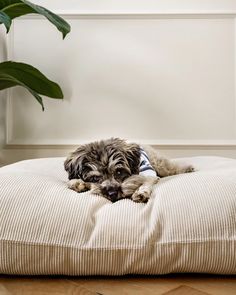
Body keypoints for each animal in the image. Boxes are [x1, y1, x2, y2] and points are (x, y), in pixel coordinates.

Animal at [64, 139, 194, 204]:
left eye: (119, 172)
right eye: (95, 178)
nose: (112, 194)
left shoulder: (148, 173)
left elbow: (146, 181)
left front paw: (141, 192)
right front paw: (77, 183)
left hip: (159, 164)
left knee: (172, 168)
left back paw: (188, 168)